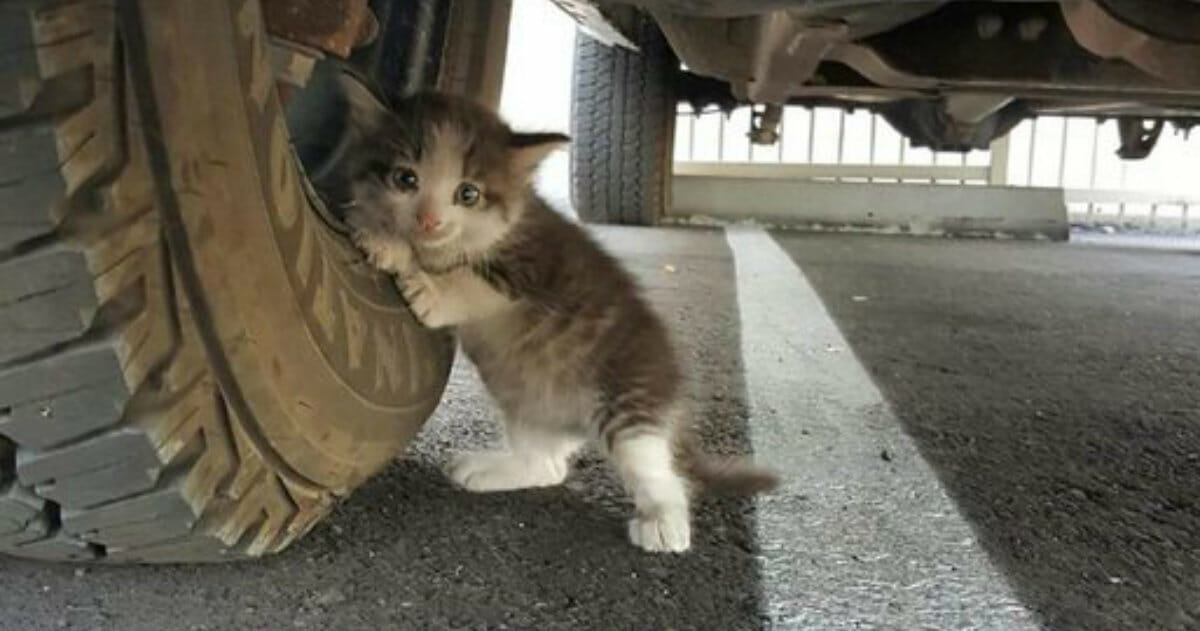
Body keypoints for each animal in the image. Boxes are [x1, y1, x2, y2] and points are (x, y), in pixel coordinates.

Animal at [336, 77, 777, 554]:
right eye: (406, 179)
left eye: (467, 193)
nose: (430, 220)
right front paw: (382, 235)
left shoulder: (537, 264)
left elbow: (469, 280)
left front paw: (418, 273)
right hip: (526, 403)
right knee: (548, 467)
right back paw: (492, 469)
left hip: (628, 398)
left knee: (655, 467)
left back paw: (665, 521)